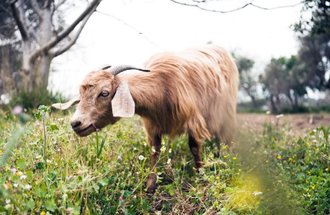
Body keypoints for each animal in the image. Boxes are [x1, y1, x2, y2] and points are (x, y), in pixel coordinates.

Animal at [53, 44, 240, 192]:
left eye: (104, 93)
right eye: (81, 94)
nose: (75, 123)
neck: (161, 87)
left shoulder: (193, 120)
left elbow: (194, 147)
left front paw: (201, 176)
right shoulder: (152, 126)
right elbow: (154, 152)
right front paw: (150, 185)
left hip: (226, 114)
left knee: (223, 139)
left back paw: (222, 160)